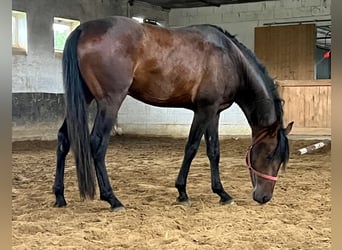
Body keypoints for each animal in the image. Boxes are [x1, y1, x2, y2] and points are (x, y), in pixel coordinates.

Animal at [52, 15, 292, 211]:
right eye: (269, 155)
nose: (264, 197)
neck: (230, 58)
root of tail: (83, 29)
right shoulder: (204, 110)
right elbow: (191, 148)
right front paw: (182, 192)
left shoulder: (214, 112)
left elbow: (214, 151)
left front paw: (222, 193)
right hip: (110, 102)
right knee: (97, 145)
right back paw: (112, 199)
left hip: (84, 98)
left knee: (64, 138)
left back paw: (60, 196)